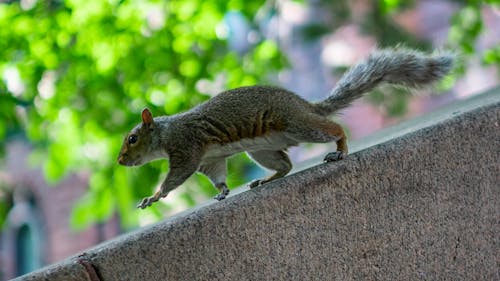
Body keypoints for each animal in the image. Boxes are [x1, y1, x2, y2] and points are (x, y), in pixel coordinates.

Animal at [116, 47, 454, 208]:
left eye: (132, 138)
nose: (120, 160)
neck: (164, 133)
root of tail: (305, 106)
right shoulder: (209, 160)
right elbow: (217, 176)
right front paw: (223, 192)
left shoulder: (186, 148)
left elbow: (175, 178)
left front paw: (154, 196)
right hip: (263, 151)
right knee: (286, 165)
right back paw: (265, 180)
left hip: (299, 125)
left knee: (333, 129)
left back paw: (340, 150)